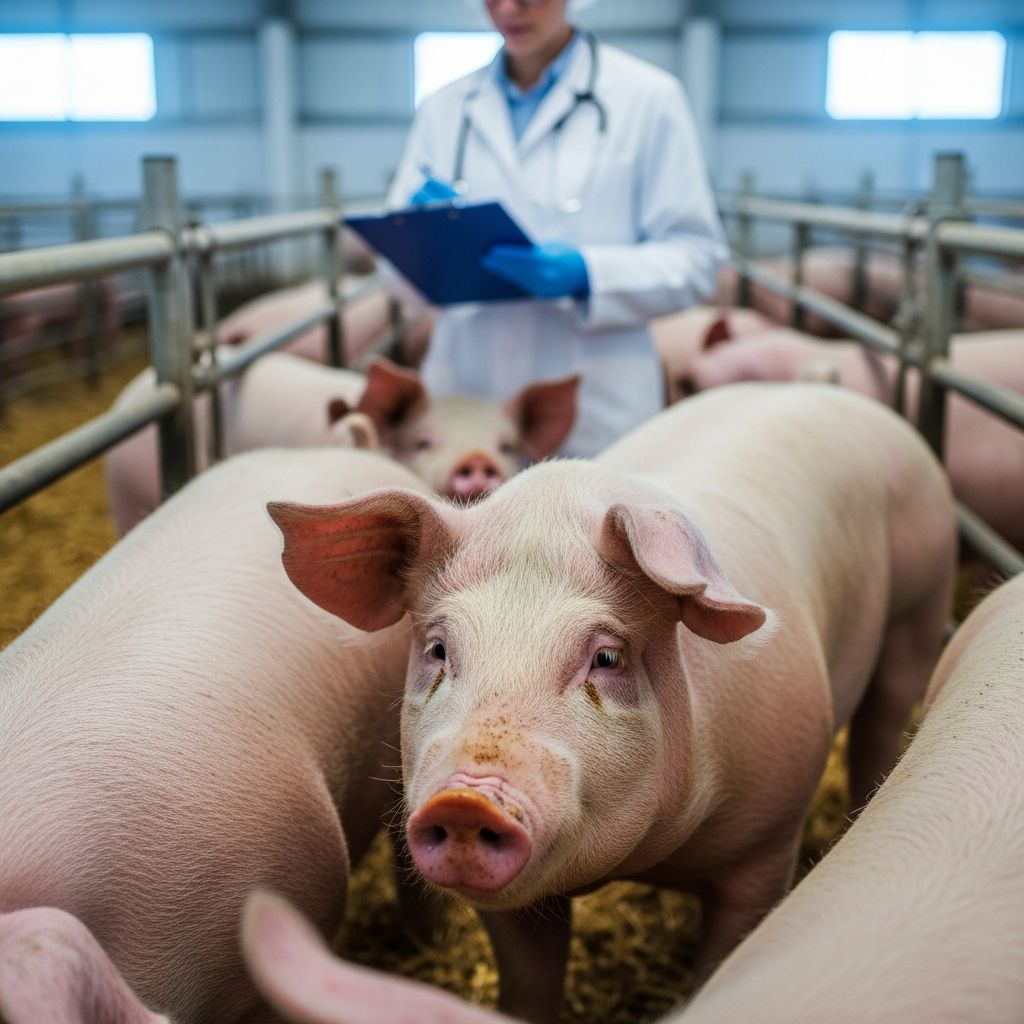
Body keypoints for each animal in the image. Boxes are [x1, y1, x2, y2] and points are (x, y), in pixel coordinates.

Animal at [268, 382, 958, 1023]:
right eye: (438, 648)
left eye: (606, 657)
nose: (466, 800)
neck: (652, 859)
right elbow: (531, 985)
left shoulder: (768, 838)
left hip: (921, 603)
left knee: (883, 719)